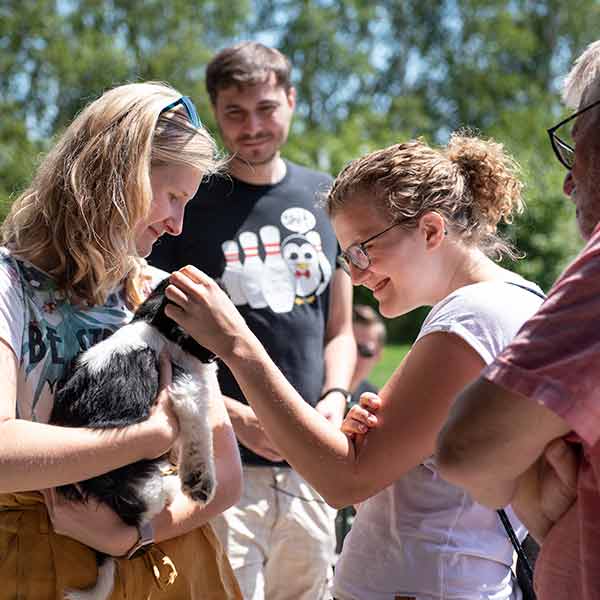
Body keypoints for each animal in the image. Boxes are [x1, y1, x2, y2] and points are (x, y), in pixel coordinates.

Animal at [50, 277, 219, 600]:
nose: (215, 355)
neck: (156, 323)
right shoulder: (187, 388)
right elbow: (200, 435)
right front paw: (199, 484)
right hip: (136, 481)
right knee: (145, 507)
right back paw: (171, 487)